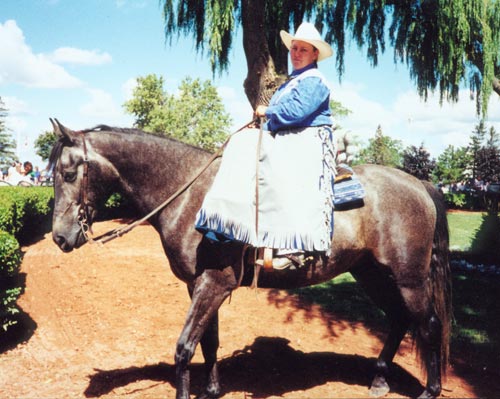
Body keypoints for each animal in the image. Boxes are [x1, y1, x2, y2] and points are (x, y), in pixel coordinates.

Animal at [48, 119, 452, 399]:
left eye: (67, 173)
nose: (60, 237)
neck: (190, 194)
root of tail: (419, 184)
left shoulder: (214, 282)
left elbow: (184, 347)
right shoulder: (200, 285)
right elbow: (208, 343)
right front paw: (211, 390)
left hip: (408, 277)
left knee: (429, 324)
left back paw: (429, 390)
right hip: (371, 273)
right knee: (399, 319)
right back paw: (380, 379)